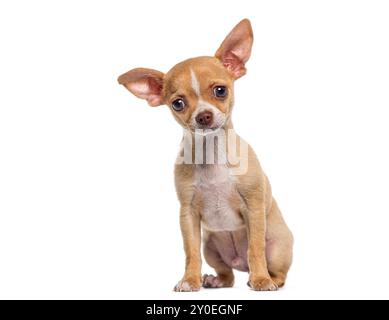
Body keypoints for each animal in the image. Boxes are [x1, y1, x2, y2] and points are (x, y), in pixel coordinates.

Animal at [116, 18, 292, 292]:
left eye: (220, 91)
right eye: (178, 103)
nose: (204, 115)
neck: (212, 154)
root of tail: (239, 264)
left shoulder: (253, 208)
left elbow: (255, 249)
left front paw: (261, 280)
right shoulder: (188, 215)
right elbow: (191, 253)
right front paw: (190, 280)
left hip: (277, 247)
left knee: (273, 268)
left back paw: (266, 278)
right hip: (211, 247)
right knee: (228, 275)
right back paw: (214, 279)